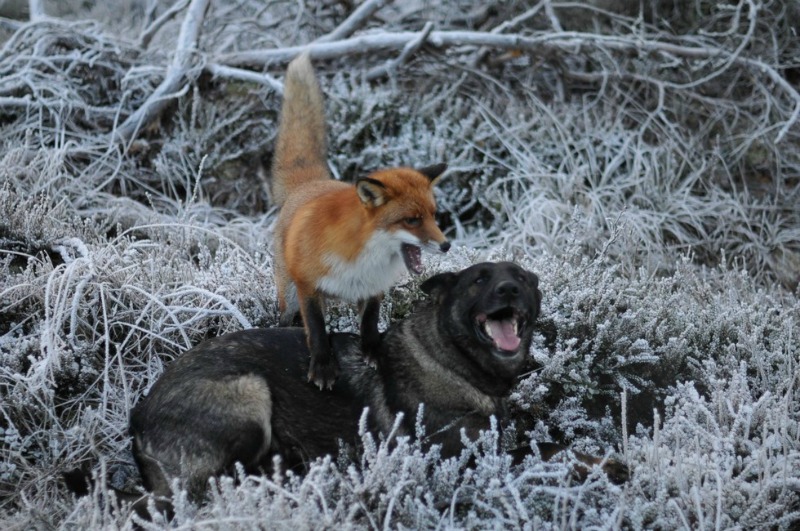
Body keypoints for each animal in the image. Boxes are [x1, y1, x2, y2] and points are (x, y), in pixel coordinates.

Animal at [272, 52, 450, 388]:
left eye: (434, 216)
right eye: (412, 220)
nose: (446, 246)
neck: (360, 255)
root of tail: (310, 185)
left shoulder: (373, 288)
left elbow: (369, 322)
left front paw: (373, 352)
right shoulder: (308, 286)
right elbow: (317, 330)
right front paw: (323, 366)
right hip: (287, 295)